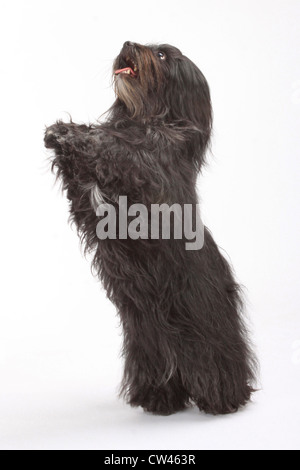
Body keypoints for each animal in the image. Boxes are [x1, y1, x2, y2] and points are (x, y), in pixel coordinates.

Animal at [45, 41, 256, 414]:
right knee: (163, 371)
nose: (128, 43)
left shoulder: (152, 174)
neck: (147, 116)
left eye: (161, 55)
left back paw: (225, 399)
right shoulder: (89, 208)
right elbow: (84, 188)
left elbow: (123, 152)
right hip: (145, 344)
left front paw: (86, 137)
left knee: (221, 359)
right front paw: (61, 132)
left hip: (207, 324)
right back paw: (159, 399)